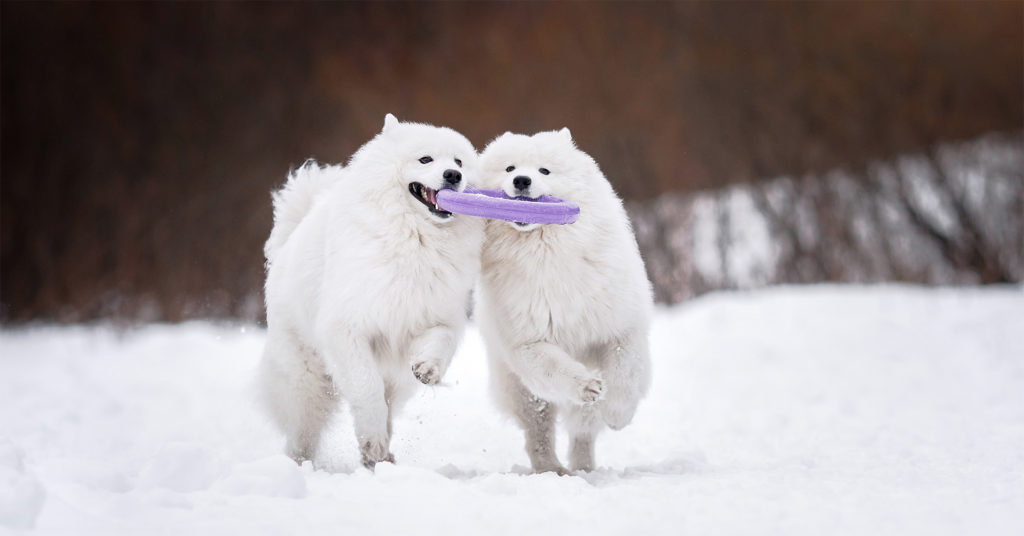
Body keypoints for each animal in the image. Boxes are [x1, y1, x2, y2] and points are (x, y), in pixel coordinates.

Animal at [256, 114, 479, 469]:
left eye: (459, 162)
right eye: (425, 159)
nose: (453, 176)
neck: (416, 239)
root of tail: (286, 244)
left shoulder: (435, 315)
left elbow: (440, 341)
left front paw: (428, 368)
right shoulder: (347, 329)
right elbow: (366, 387)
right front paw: (372, 439)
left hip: (396, 382)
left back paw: (381, 458)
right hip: (306, 377)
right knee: (302, 428)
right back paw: (300, 463)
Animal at [475, 129, 651, 473]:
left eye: (544, 170)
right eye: (509, 168)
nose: (521, 180)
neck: (546, 253)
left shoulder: (620, 327)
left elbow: (625, 370)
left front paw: (618, 414)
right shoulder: (528, 342)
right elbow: (557, 368)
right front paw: (586, 385)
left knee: (583, 430)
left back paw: (584, 467)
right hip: (520, 388)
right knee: (538, 432)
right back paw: (553, 469)